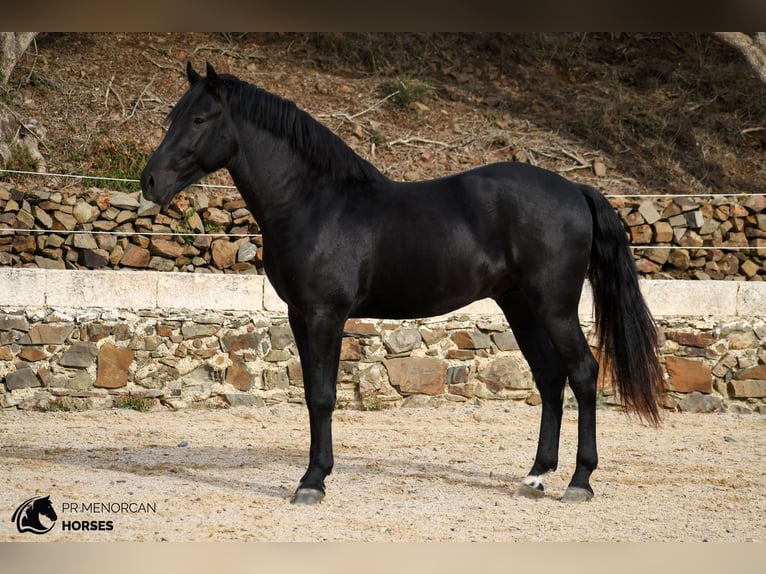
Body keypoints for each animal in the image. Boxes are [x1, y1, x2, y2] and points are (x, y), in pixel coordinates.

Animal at [141, 62, 665, 505]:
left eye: (200, 118)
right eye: (173, 116)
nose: (149, 181)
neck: (314, 201)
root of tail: (575, 188)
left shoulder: (325, 314)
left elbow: (323, 396)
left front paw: (312, 482)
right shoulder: (299, 314)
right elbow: (312, 394)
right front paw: (315, 475)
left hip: (553, 306)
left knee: (583, 373)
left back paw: (580, 481)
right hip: (521, 305)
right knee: (550, 378)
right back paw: (536, 476)